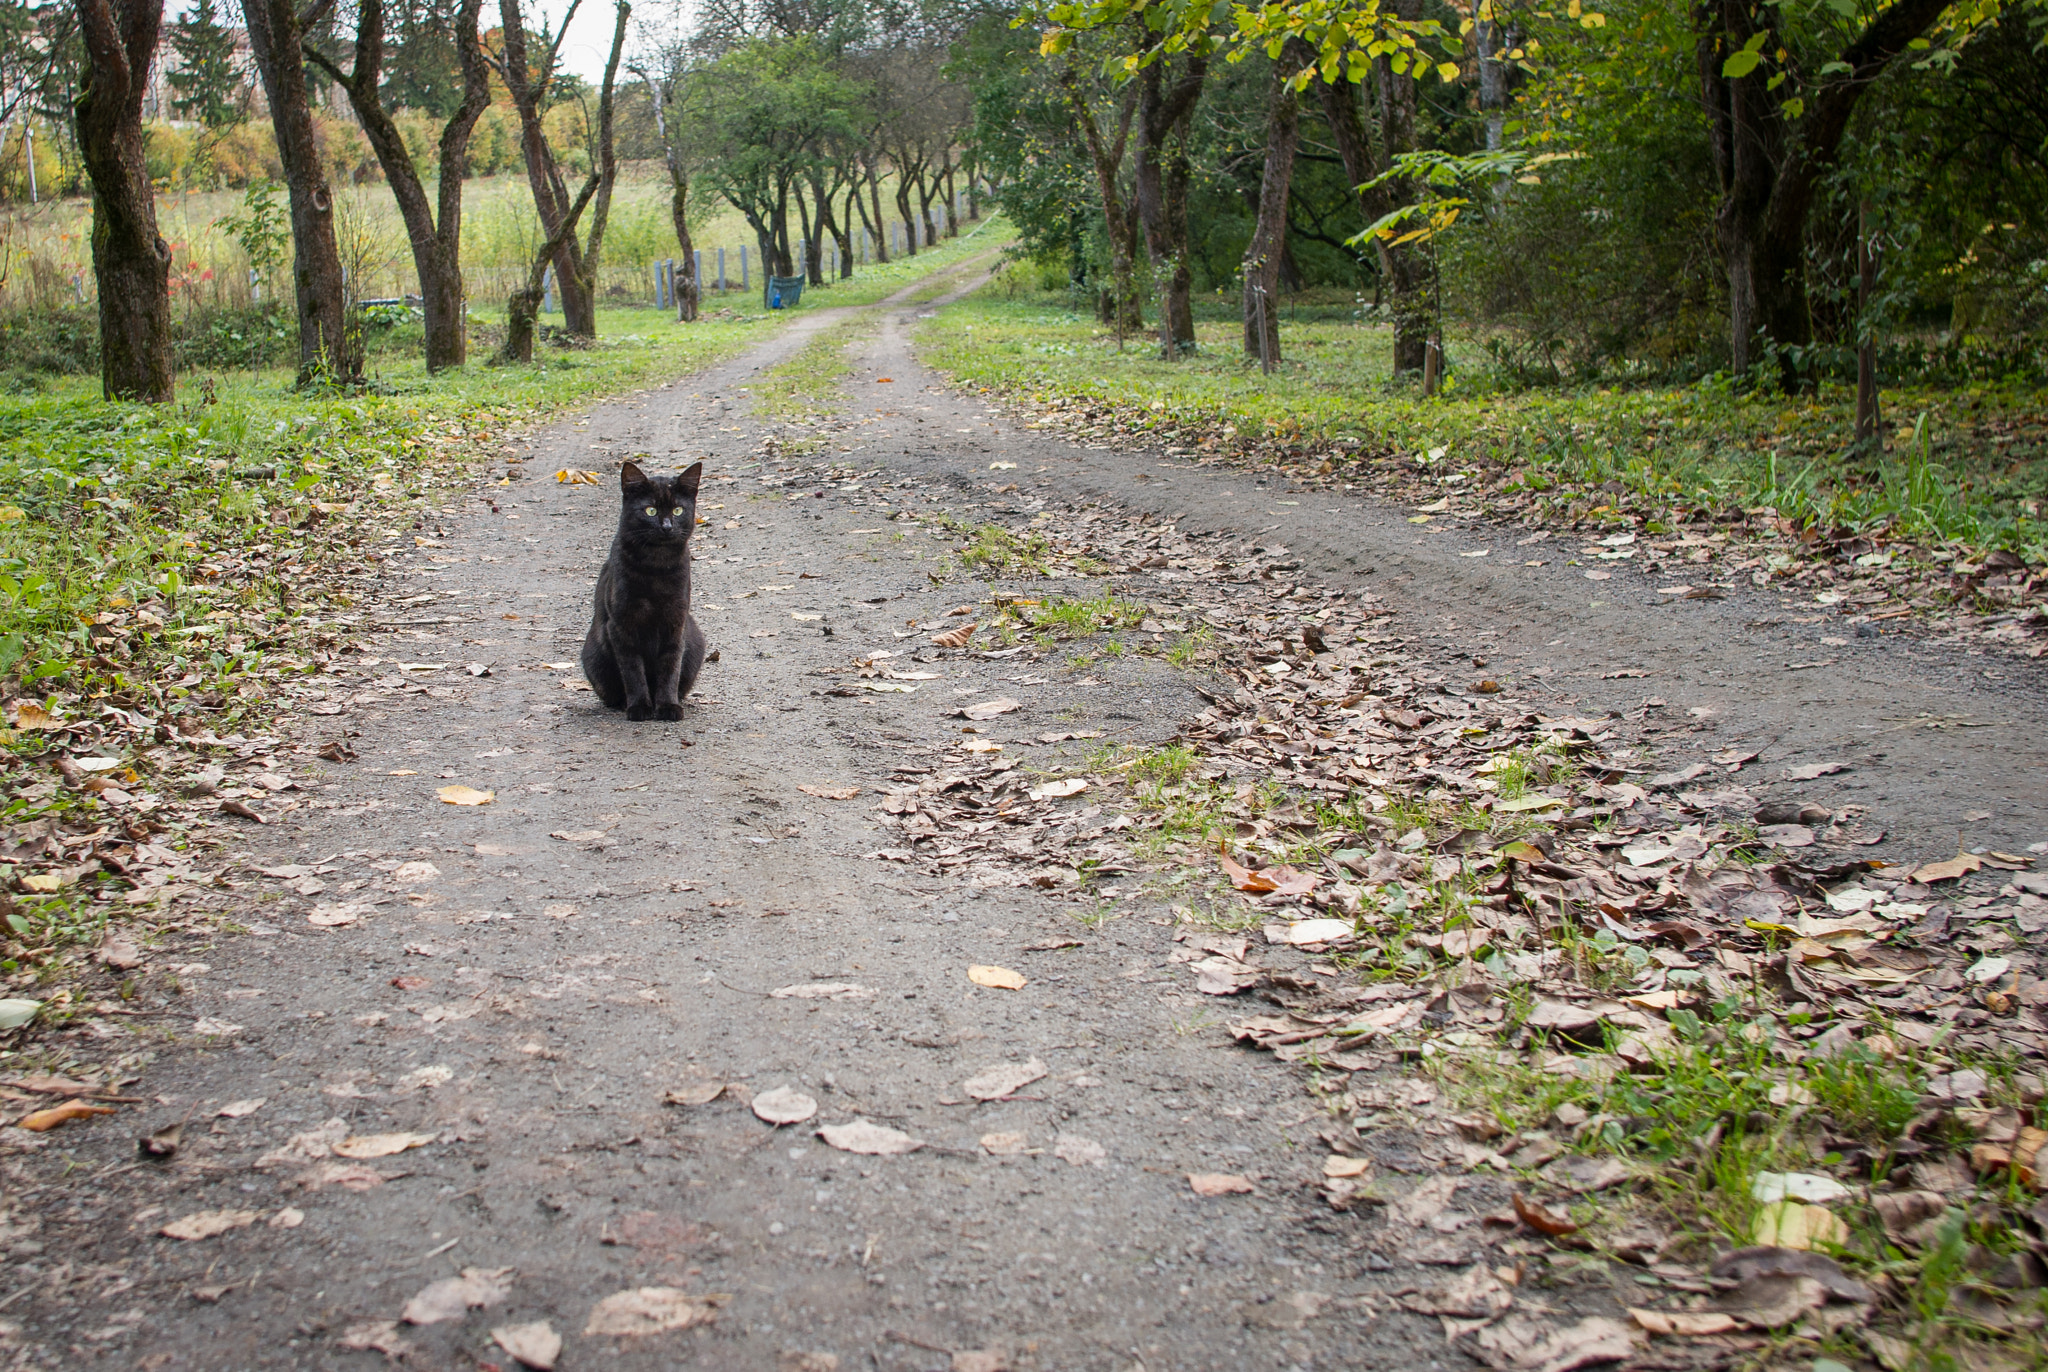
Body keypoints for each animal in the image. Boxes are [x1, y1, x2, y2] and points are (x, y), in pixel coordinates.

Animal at [581, 458, 708, 720]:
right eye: (651, 510)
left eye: (678, 510)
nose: (667, 526)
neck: (656, 567)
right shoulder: (621, 626)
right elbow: (633, 671)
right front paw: (639, 707)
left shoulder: (676, 622)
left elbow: (670, 668)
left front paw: (668, 706)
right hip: (594, 655)